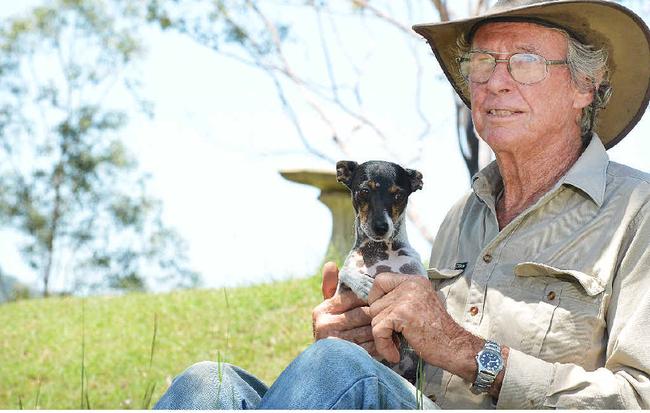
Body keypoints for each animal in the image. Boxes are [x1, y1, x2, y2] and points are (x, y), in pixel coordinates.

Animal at [334, 159, 426, 382]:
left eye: (398, 195)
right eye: (364, 191)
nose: (381, 227)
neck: (380, 252)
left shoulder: (417, 272)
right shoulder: (341, 291)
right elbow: (344, 272)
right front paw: (363, 284)